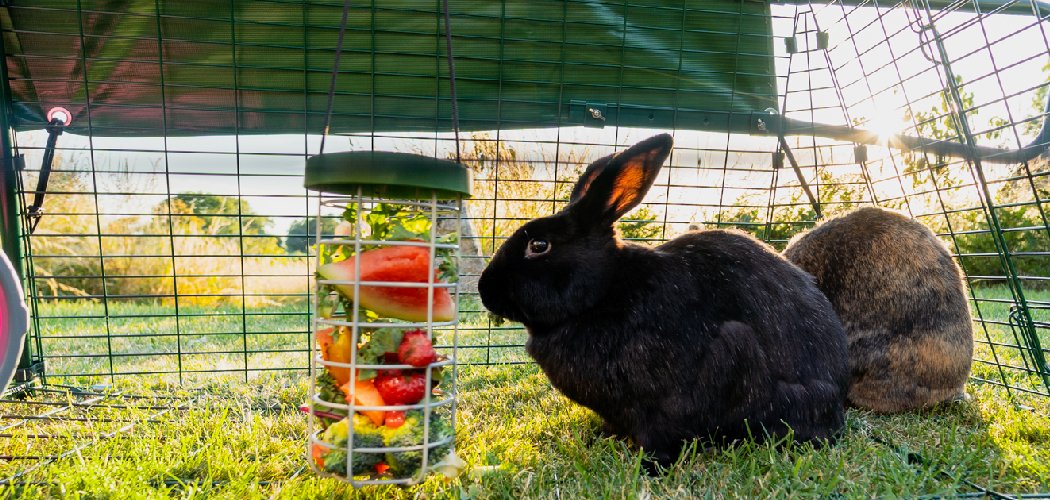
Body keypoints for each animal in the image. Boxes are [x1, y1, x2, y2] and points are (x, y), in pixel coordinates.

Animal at [477, 134, 849, 469]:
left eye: (539, 245)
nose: (484, 289)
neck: (604, 291)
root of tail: (837, 398)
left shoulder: (663, 407)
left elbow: (663, 437)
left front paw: (648, 467)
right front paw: (603, 437)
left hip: (741, 355)